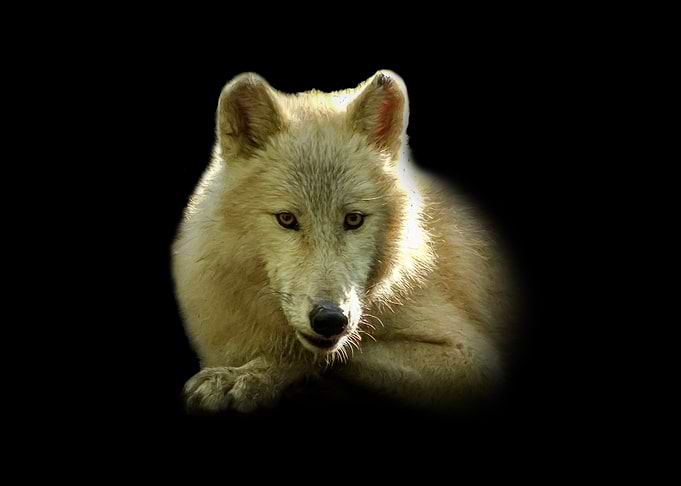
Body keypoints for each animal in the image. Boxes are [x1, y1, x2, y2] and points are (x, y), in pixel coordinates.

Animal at [171, 70, 515, 414]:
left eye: (353, 220)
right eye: (287, 219)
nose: (329, 319)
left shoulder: (469, 358)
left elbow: (316, 352)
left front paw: (244, 378)